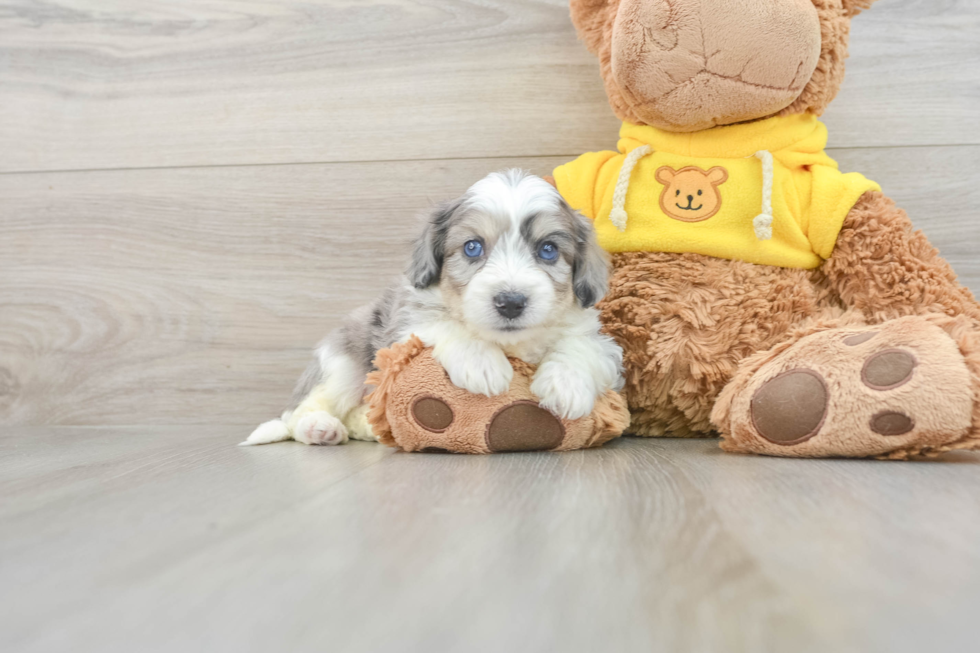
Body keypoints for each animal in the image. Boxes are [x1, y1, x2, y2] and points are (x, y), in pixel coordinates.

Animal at [242, 168, 624, 446]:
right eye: (472, 247)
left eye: (548, 250)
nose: (510, 302)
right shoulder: (403, 323)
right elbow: (442, 324)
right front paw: (481, 363)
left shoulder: (597, 339)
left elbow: (581, 346)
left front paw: (567, 384)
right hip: (342, 363)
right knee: (301, 410)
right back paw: (318, 428)